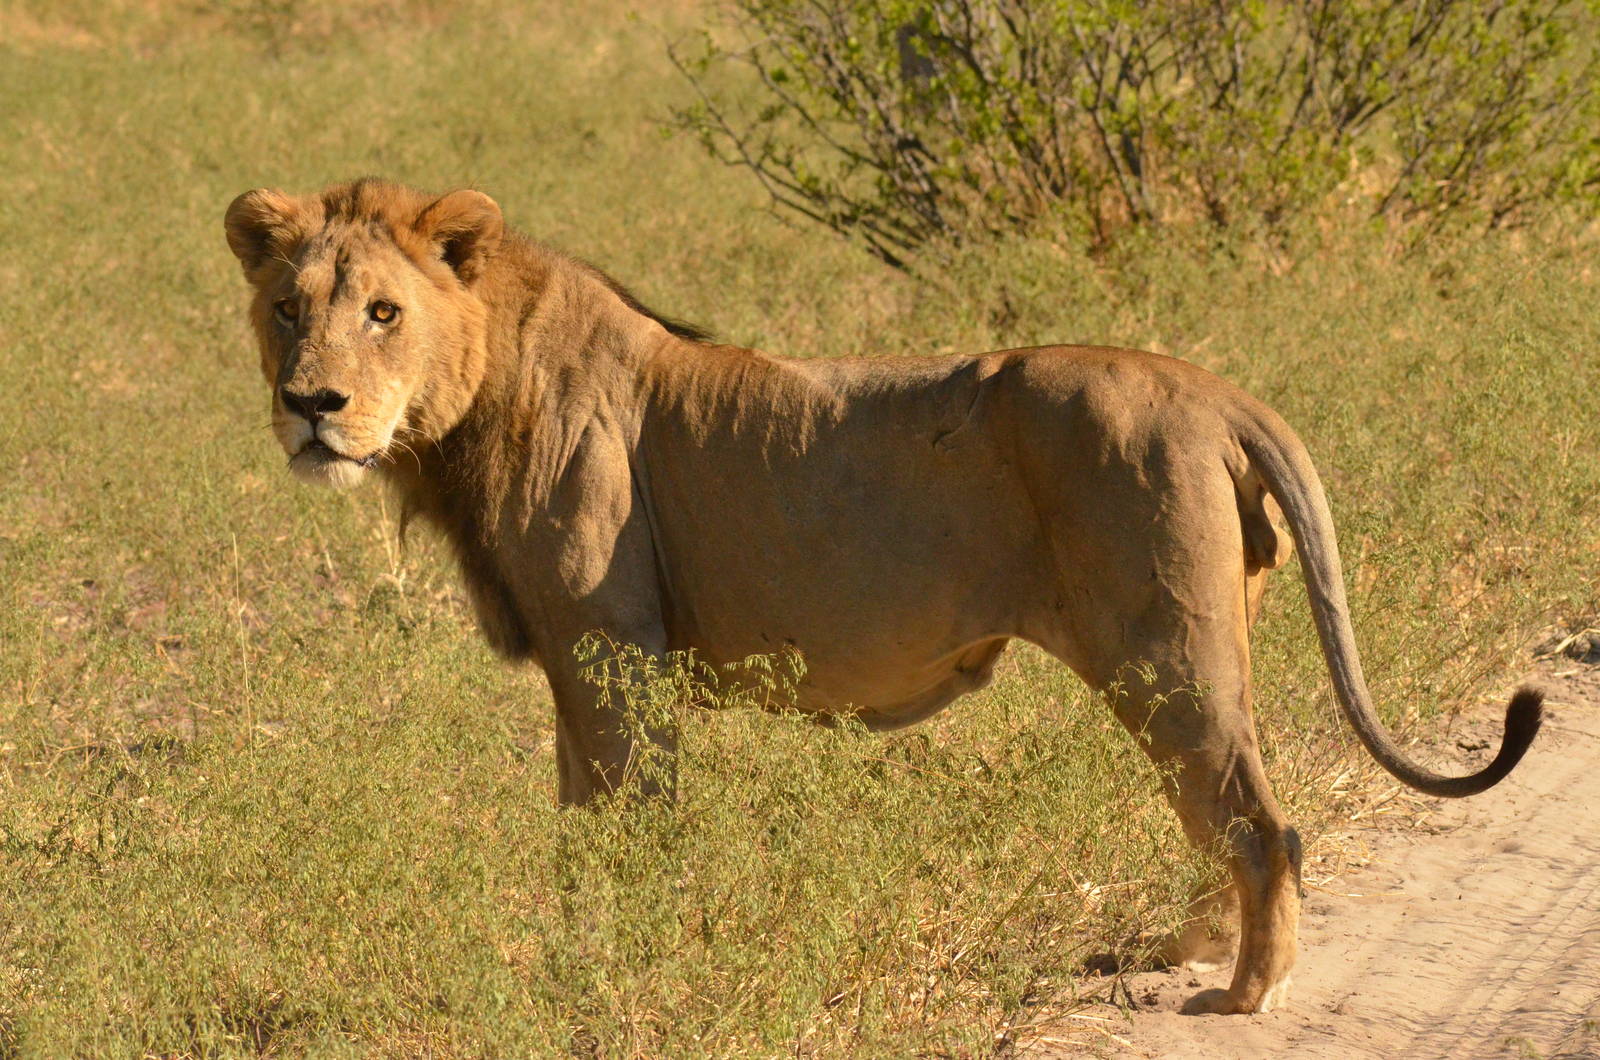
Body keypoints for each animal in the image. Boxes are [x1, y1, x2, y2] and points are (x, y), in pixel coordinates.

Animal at [223, 178, 1541, 1016]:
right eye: (288, 307)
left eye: (383, 312)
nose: (311, 405)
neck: (475, 397)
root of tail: (1213, 390)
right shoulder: (579, 666)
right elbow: (577, 832)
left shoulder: (613, 651)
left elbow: (622, 833)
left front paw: (608, 973)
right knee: (1224, 818)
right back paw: (1192, 949)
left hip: (1163, 648)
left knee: (1261, 822)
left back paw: (1240, 992)